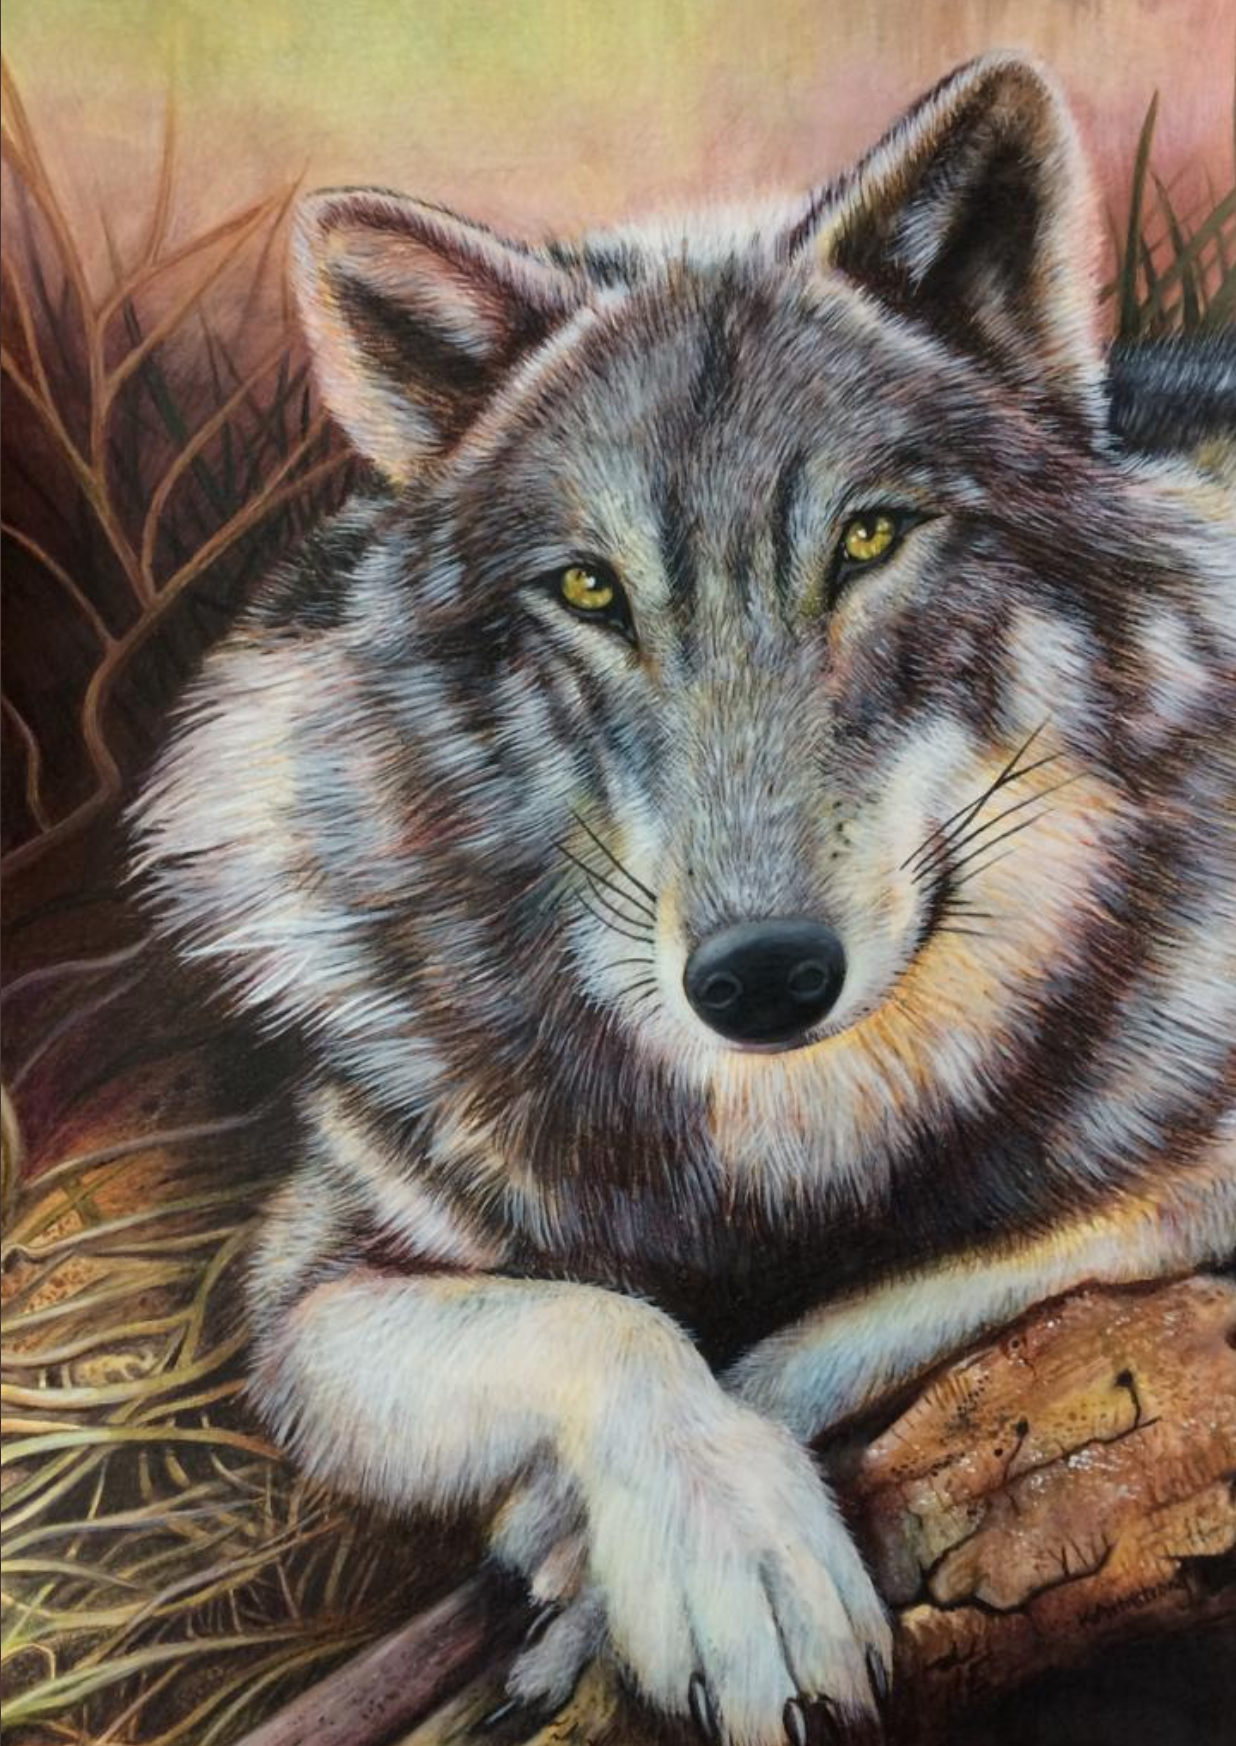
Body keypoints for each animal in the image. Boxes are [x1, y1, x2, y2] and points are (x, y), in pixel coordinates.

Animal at [132, 53, 1235, 1746]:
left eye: (870, 537)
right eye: (590, 590)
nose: (764, 976)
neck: (779, 1147)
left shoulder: (1187, 1168)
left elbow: (845, 1314)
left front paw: (610, 1557)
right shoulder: (309, 1285)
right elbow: (601, 1319)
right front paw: (724, 1548)